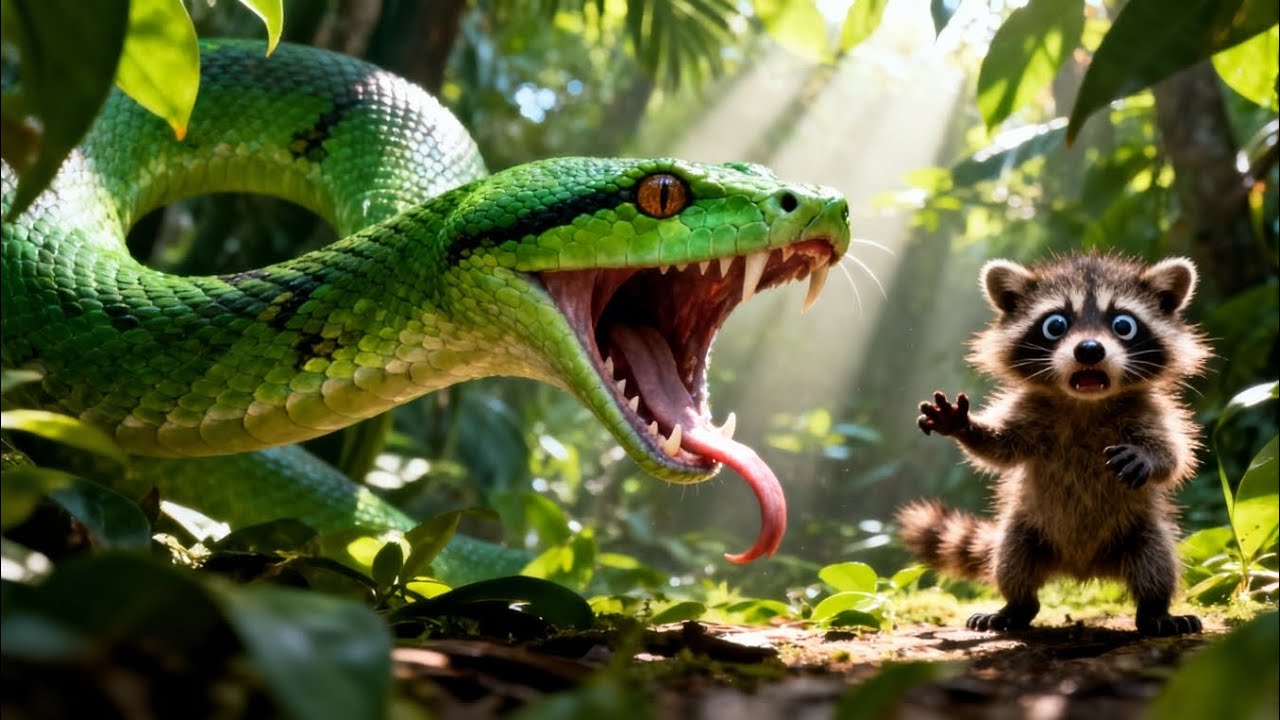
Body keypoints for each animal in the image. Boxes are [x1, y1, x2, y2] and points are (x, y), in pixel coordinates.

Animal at [898, 254, 1211, 636]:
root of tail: (1081, 565)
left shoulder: (1149, 409)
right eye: (1055, 325)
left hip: (1142, 528)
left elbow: (1174, 455)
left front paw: (1148, 458)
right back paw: (1016, 606)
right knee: (1011, 561)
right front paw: (965, 426)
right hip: (1024, 527)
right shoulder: (1031, 411)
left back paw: (1155, 610)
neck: (1084, 403)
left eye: (1123, 325)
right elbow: (1000, 449)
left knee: (1157, 561)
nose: (1089, 350)